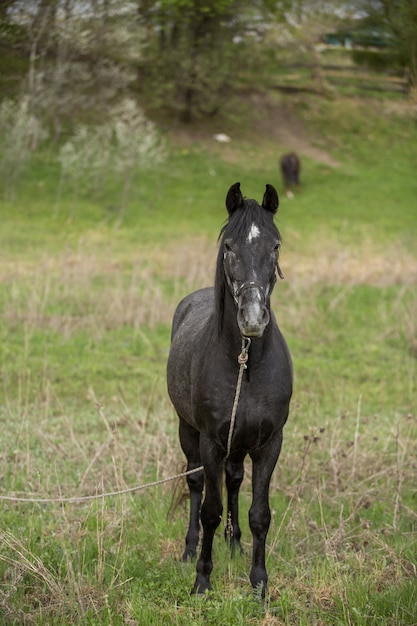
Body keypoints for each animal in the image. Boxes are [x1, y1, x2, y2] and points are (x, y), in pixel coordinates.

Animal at [167, 180, 292, 596]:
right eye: (228, 247)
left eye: (275, 245)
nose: (252, 319)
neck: (246, 362)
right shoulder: (210, 440)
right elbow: (210, 509)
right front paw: (202, 579)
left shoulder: (270, 443)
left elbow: (260, 514)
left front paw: (259, 583)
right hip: (188, 431)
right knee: (195, 483)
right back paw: (190, 550)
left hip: (239, 444)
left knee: (235, 480)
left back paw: (234, 544)